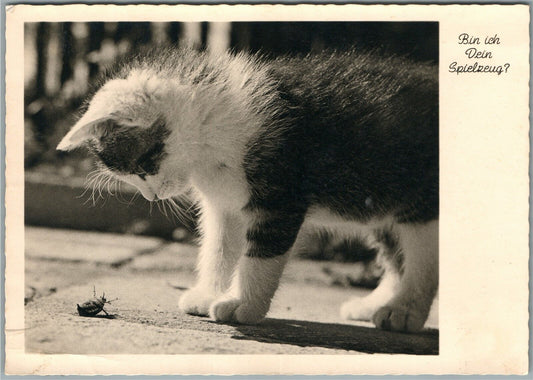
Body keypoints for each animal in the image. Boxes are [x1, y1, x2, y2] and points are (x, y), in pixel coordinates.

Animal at [58, 46, 436, 332]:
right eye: (131, 176)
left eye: (143, 165)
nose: (153, 196)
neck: (212, 130)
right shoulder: (225, 203)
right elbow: (219, 246)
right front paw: (209, 292)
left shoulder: (279, 193)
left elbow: (261, 253)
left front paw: (244, 305)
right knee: (395, 248)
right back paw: (376, 304)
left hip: (418, 195)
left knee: (422, 254)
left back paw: (404, 310)